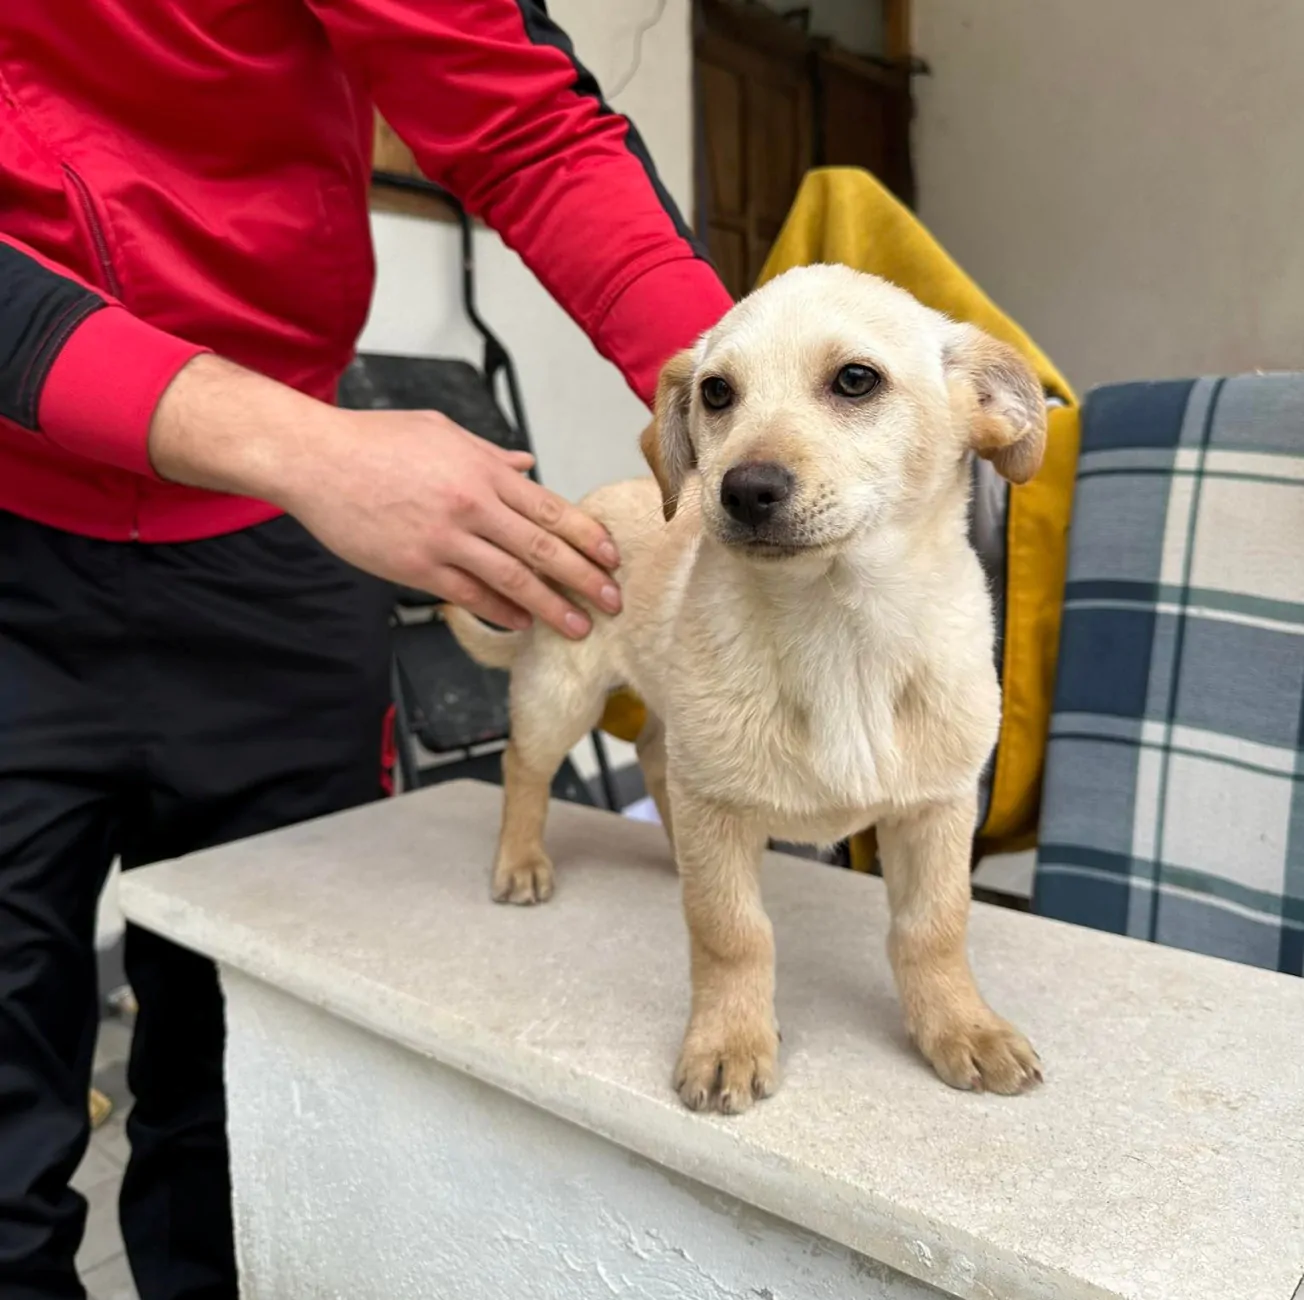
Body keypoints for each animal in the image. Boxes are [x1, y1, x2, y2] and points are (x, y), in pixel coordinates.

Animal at [448, 265, 1048, 1116]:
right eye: (717, 392)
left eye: (856, 380)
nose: (742, 490)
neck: (839, 628)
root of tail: (588, 502)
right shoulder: (721, 808)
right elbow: (730, 931)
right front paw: (728, 1041)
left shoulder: (937, 806)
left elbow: (934, 927)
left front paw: (962, 1026)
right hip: (562, 692)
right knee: (523, 768)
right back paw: (521, 862)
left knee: (655, 756)